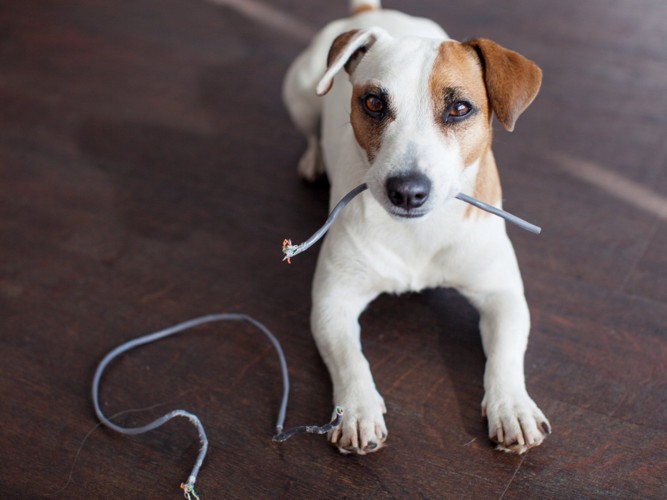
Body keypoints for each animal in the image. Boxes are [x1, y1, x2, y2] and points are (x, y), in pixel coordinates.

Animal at [284, 0, 552, 454]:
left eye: (460, 108)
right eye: (373, 102)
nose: (407, 192)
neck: (417, 233)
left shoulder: (502, 295)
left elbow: (506, 354)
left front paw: (512, 406)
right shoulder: (332, 303)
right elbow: (350, 358)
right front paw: (356, 409)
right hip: (302, 93)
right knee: (311, 130)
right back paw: (313, 158)